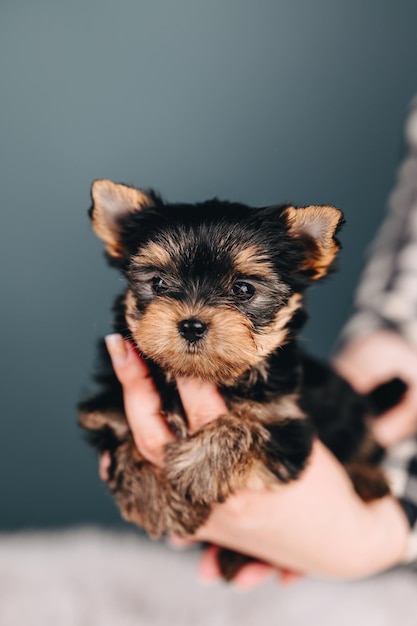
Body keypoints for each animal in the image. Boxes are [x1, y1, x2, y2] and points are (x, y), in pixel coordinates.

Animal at [79, 180, 404, 580]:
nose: (191, 324)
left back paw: (369, 480)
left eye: (244, 289)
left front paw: (196, 470)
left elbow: (246, 427)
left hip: (345, 408)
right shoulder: (110, 401)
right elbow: (123, 429)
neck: (203, 377)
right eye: (158, 282)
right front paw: (154, 499)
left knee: (367, 441)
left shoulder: (288, 423)